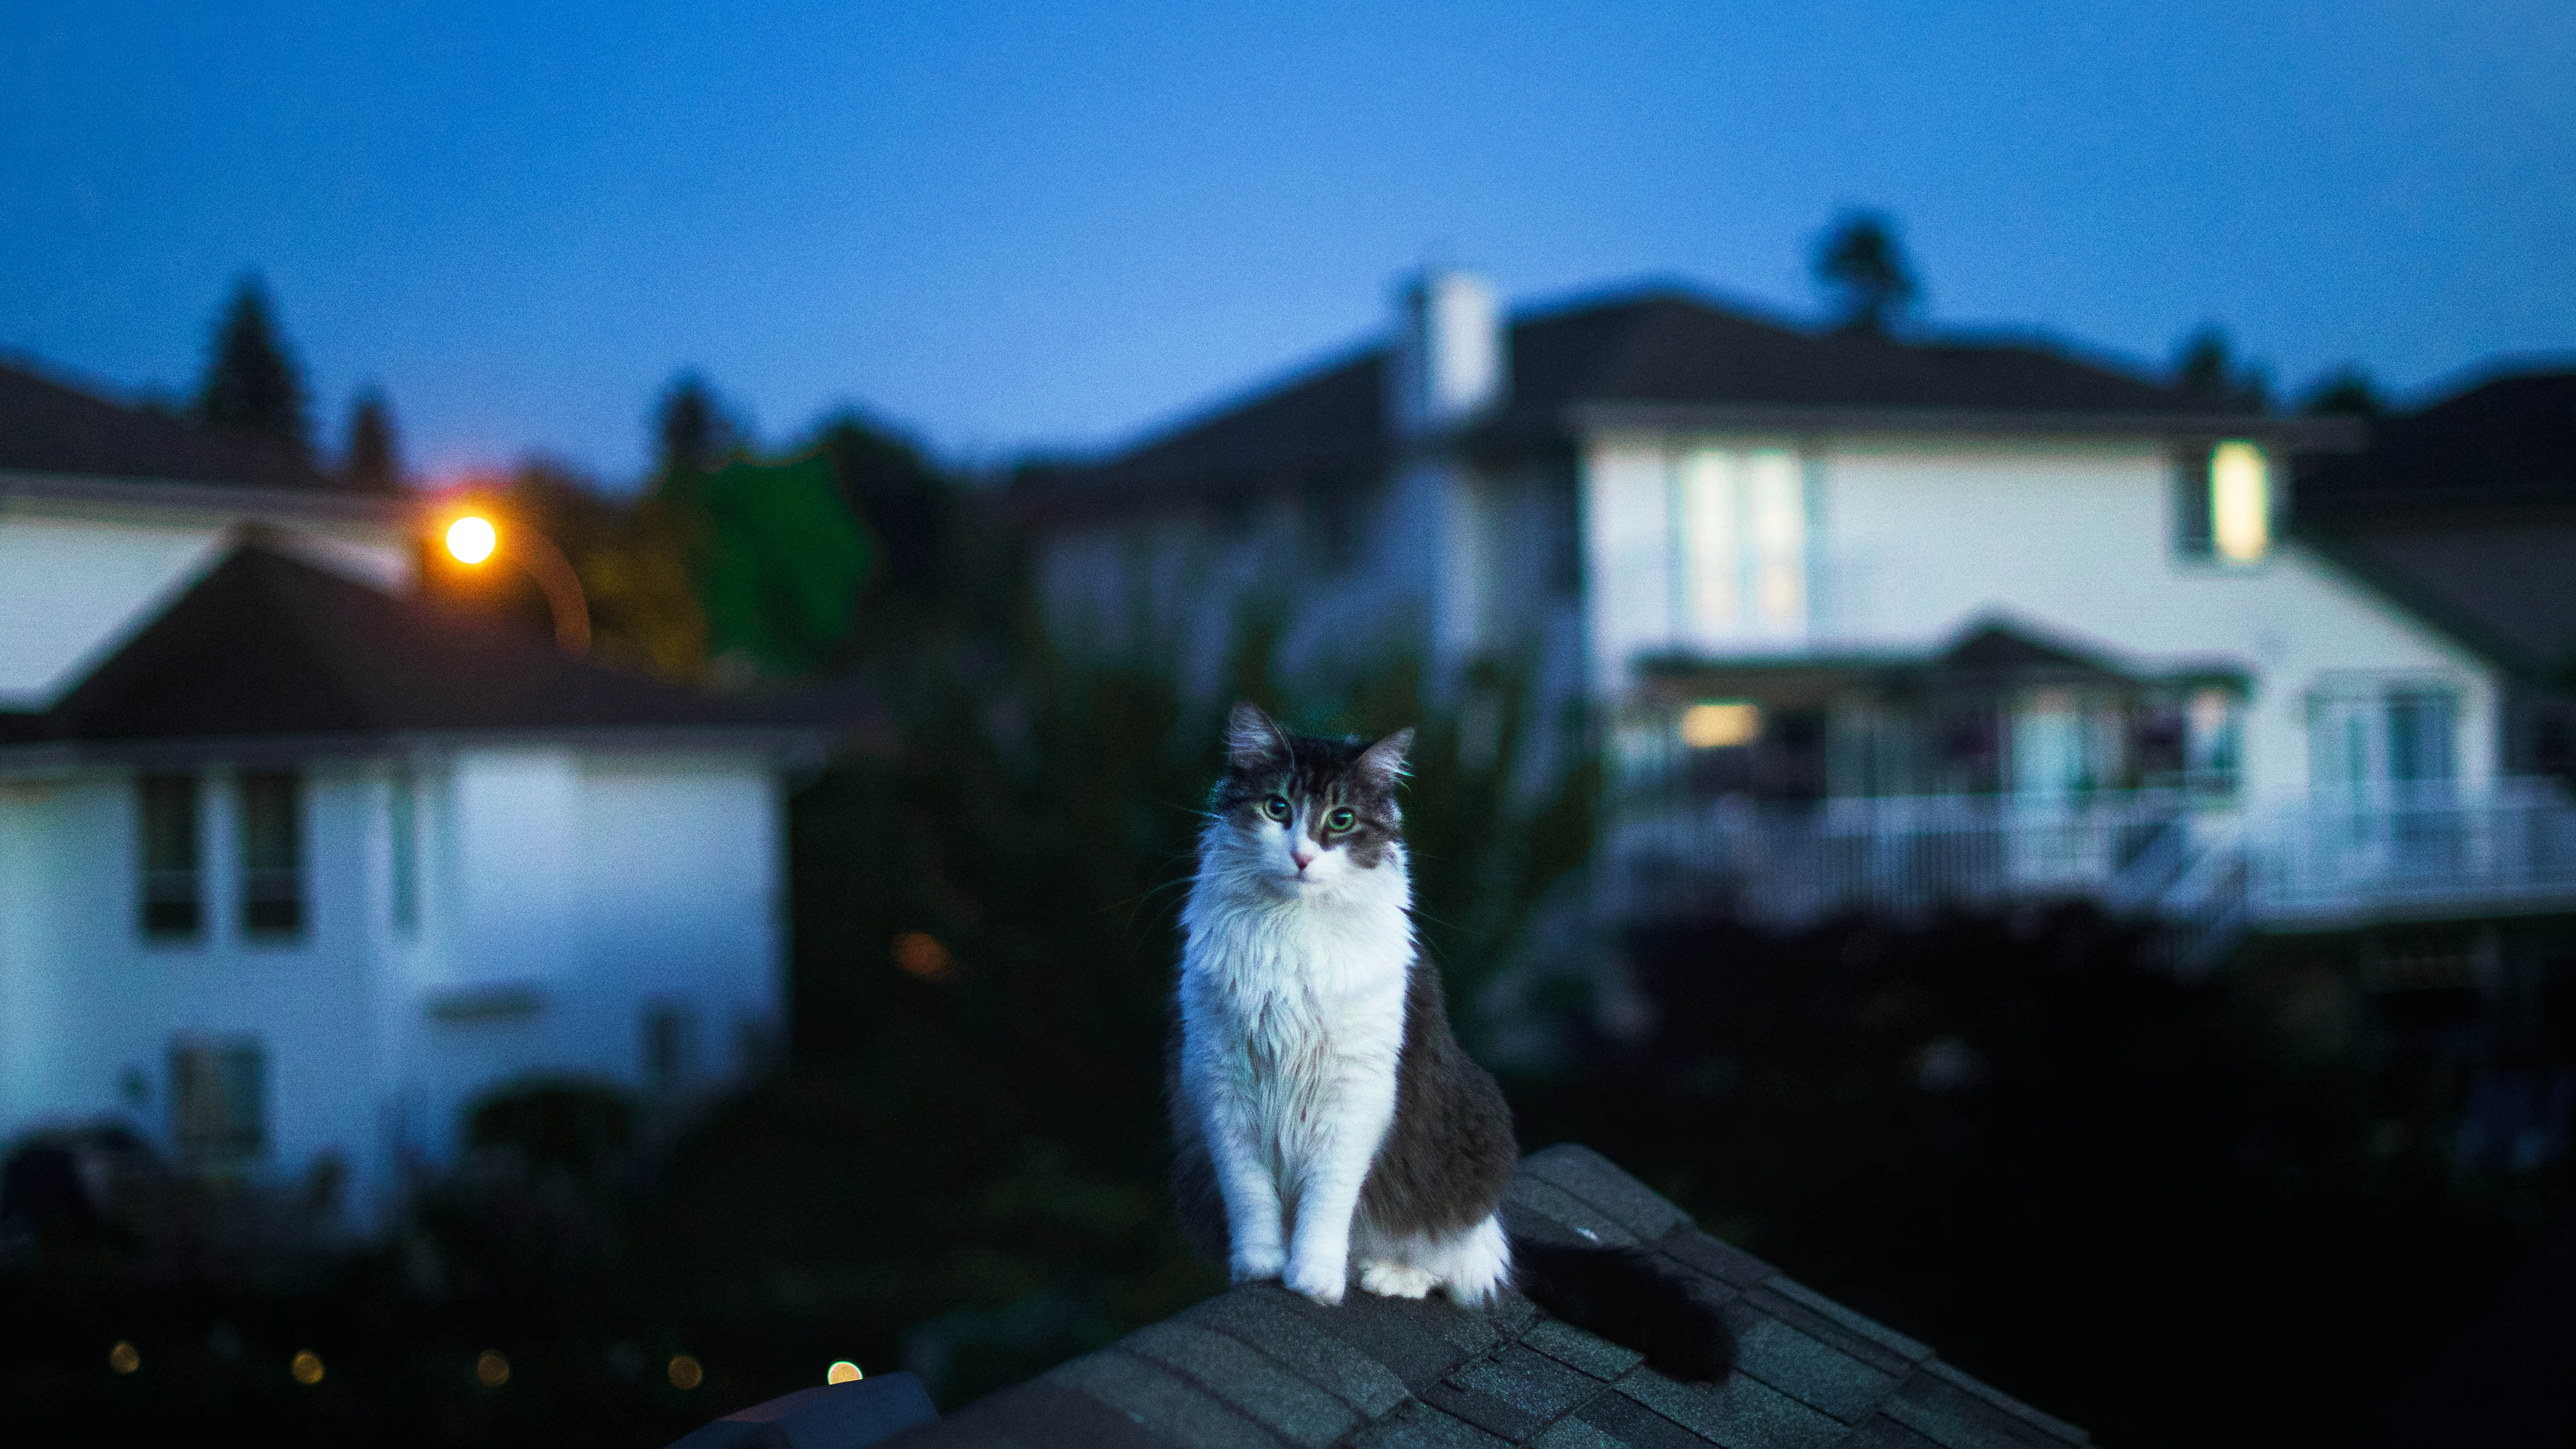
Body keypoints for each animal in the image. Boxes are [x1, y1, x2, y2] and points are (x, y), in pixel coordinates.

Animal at [1180, 701, 1741, 1371]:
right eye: (1277, 808)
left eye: (1341, 819)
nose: (1303, 858)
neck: (1291, 929)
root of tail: (1497, 1225)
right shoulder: (1221, 1086)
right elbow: (1251, 1194)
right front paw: (1260, 1264)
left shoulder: (1353, 1096)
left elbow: (1326, 1197)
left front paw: (1314, 1279)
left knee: (1466, 1267)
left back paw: (1387, 1274)